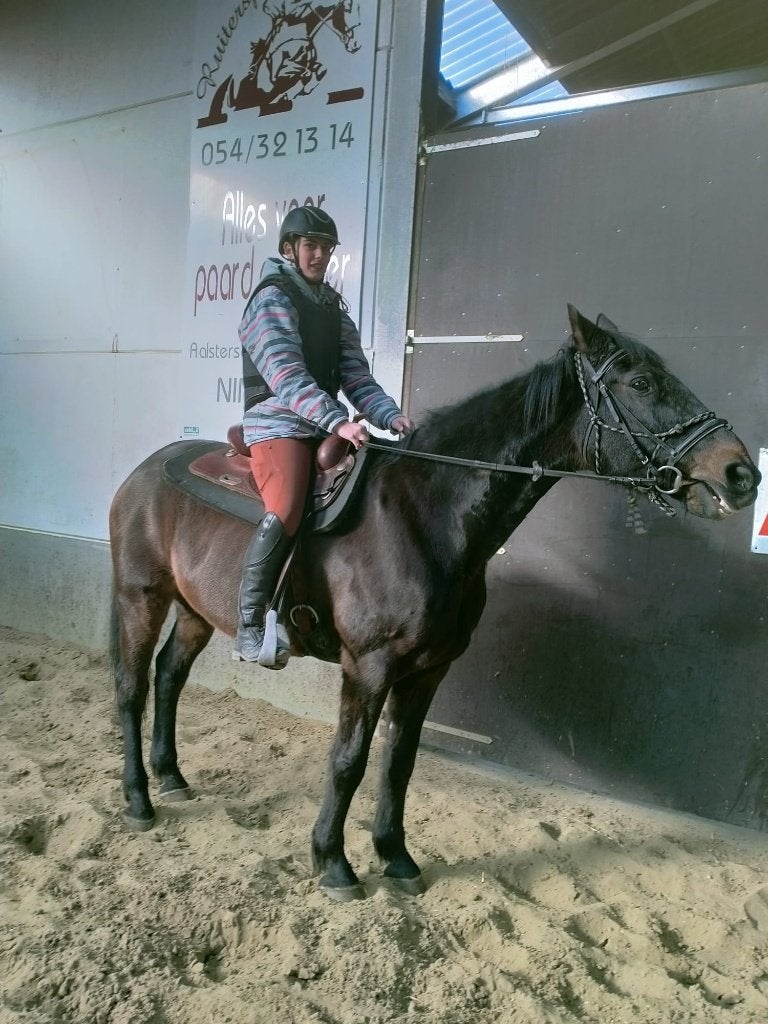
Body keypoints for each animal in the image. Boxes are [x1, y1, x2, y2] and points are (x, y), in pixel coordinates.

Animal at [109, 305, 760, 901]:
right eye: (642, 383)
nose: (741, 473)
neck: (426, 516)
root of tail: (142, 471)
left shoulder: (427, 670)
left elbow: (399, 763)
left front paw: (395, 859)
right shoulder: (368, 667)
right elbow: (348, 761)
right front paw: (333, 863)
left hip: (195, 610)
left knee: (169, 676)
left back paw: (171, 777)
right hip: (141, 596)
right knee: (132, 688)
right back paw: (139, 799)